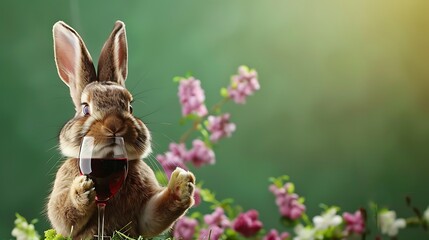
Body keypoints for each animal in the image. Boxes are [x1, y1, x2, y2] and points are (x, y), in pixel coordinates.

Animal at [46, 21, 194, 240]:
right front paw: (82, 189)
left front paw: (182, 184)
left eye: (130, 107)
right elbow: (62, 216)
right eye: (85, 109)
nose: (114, 125)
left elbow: (154, 215)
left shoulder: (145, 212)